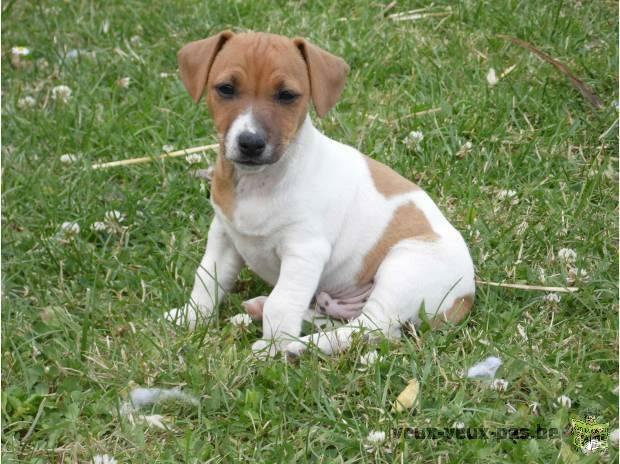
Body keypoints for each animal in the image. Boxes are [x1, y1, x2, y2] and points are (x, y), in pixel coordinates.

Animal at [165, 31, 474, 358]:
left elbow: (283, 302)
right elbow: (206, 281)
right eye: (226, 89)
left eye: (287, 95)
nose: (250, 142)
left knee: (372, 329)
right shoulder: (224, 236)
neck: (259, 182)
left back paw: (299, 346)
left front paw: (271, 347)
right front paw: (191, 318)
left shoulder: (304, 251)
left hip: (403, 269)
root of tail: (466, 295)